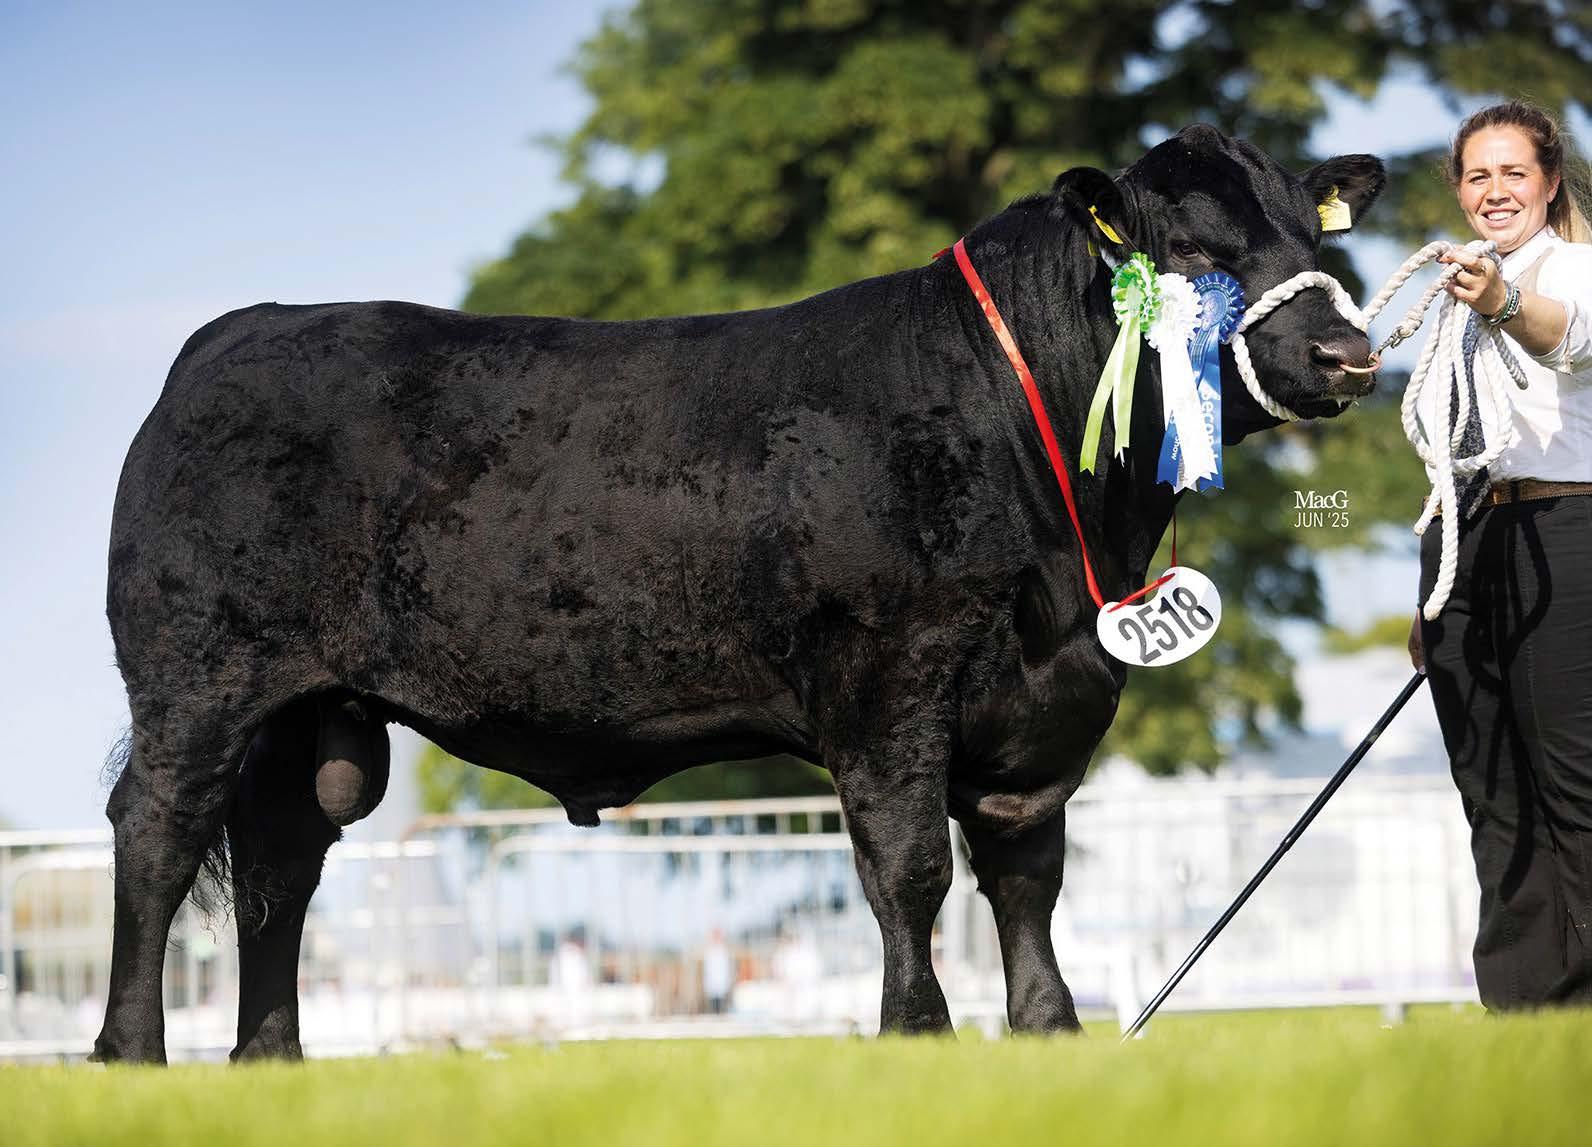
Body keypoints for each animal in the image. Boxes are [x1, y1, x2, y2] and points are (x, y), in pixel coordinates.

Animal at [93, 124, 1384, 1063]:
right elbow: (908, 863)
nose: (1347, 353)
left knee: (277, 865)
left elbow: (1025, 870)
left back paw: (269, 1060)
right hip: (197, 677)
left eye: (1300, 234)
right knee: (156, 835)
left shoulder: (1045, 700)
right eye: (1197, 255)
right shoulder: (888, 676)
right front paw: (916, 1034)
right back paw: (130, 1051)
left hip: (307, 714)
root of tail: (230, 336)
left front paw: (1047, 1033)